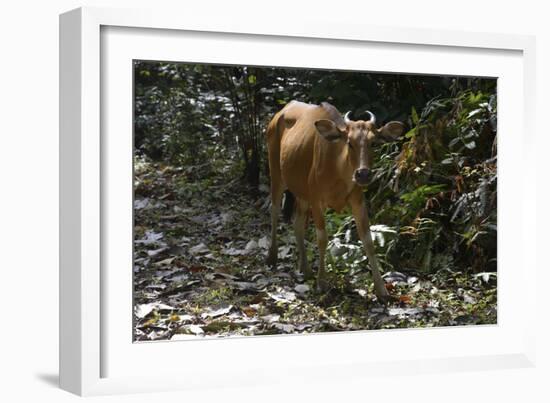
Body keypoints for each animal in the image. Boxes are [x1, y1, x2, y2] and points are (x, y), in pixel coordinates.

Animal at [266, 102, 408, 304]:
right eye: (349, 142)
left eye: (373, 143)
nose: (363, 174)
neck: (338, 169)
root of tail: (281, 111)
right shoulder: (317, 199)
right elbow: (322, 238)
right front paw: (322, 282)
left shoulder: (358, 200)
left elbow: (368, 240)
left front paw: (381, 289)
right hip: (276, 172)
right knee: (274, 209)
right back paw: (272, 256)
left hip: (301, 191)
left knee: (297, 223)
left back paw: (305, 268)